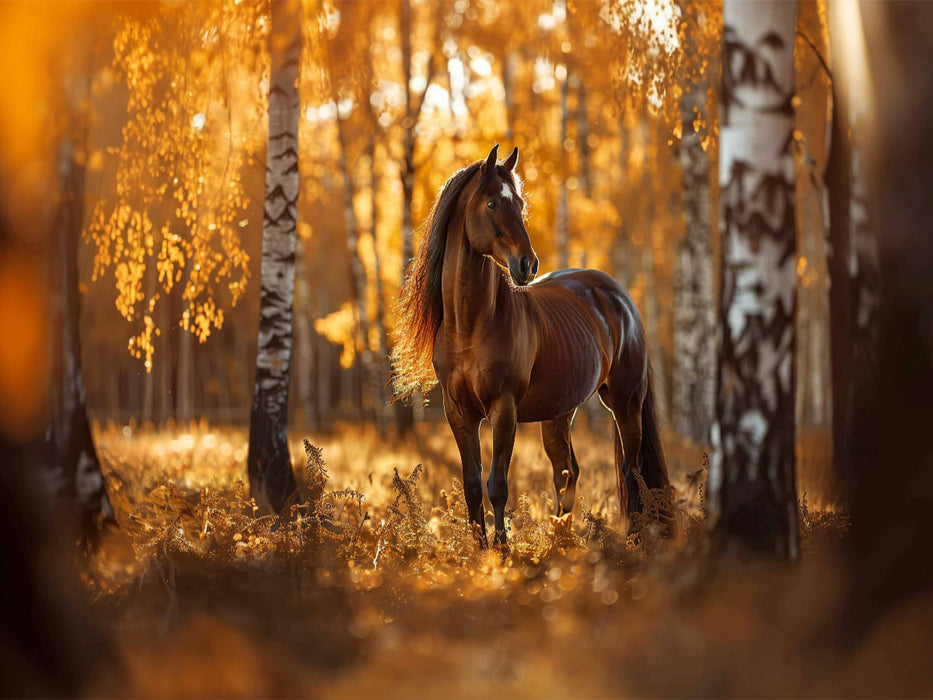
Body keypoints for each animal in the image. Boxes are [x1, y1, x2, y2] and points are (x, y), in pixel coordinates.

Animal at [392, 145, 668, 544]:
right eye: (492, 203)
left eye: (520, 204)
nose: (528, 265)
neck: (471, 324)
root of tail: (620, 298)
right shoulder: (458, 414)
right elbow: (472, 486)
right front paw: (480, 550)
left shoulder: (503, 410)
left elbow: (497, 485)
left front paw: (502, 551)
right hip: (558, 413)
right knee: (567, 473)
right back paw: (559, 543)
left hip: (625, 403)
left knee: (632, 473)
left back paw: (631, 540)